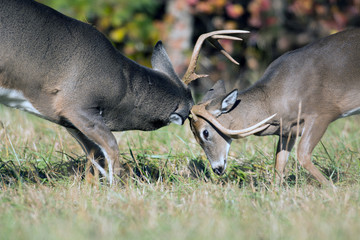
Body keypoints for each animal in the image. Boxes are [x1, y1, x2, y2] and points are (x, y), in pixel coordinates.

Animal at [0, 0, 248, 184]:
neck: (122, 86)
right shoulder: (75, 103)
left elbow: (95, 155)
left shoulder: (67, 118)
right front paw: (116, 189)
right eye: (204, 132)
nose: (218, 168)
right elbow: (111, 148)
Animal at [188, 28, 360, 188]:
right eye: (194, 136)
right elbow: (279, 164)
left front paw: (334, 189)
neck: (274, 99)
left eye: (205, 132)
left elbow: (303, 155)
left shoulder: (322, 112)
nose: (217, 169)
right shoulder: (287, 130)